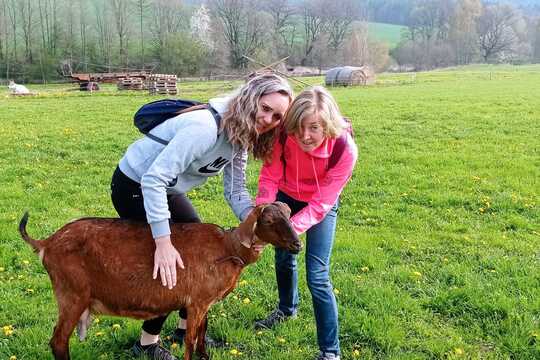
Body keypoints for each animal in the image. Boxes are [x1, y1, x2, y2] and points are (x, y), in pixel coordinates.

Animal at [20, 202, 300, 360]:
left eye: (289, 215)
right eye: (269, 220)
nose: (297, 244)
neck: (227, 249)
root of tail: (46, 243)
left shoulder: (203, 302)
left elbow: (202, 333)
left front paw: (205, 355)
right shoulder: (197, 301)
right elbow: (189, 340)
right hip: (72, 295)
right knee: (58, 342)